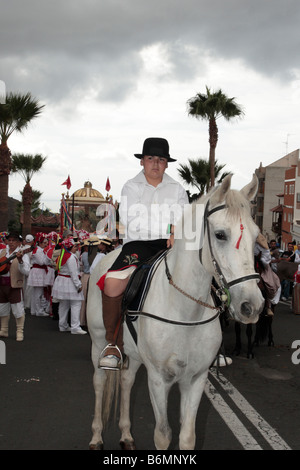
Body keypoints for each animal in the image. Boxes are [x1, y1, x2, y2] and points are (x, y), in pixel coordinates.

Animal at [87, 174, 264, 450]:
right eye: (220, 234)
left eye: (256, 236)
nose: (252, 306)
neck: (186, 311)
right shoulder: (159, 380)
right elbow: (162, 435)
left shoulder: (196, 379)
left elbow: (187, 436)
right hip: (98, 343)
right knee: (99, 382)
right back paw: (96, 436)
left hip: (133, 354)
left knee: (126, 381)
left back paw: (126, 434)